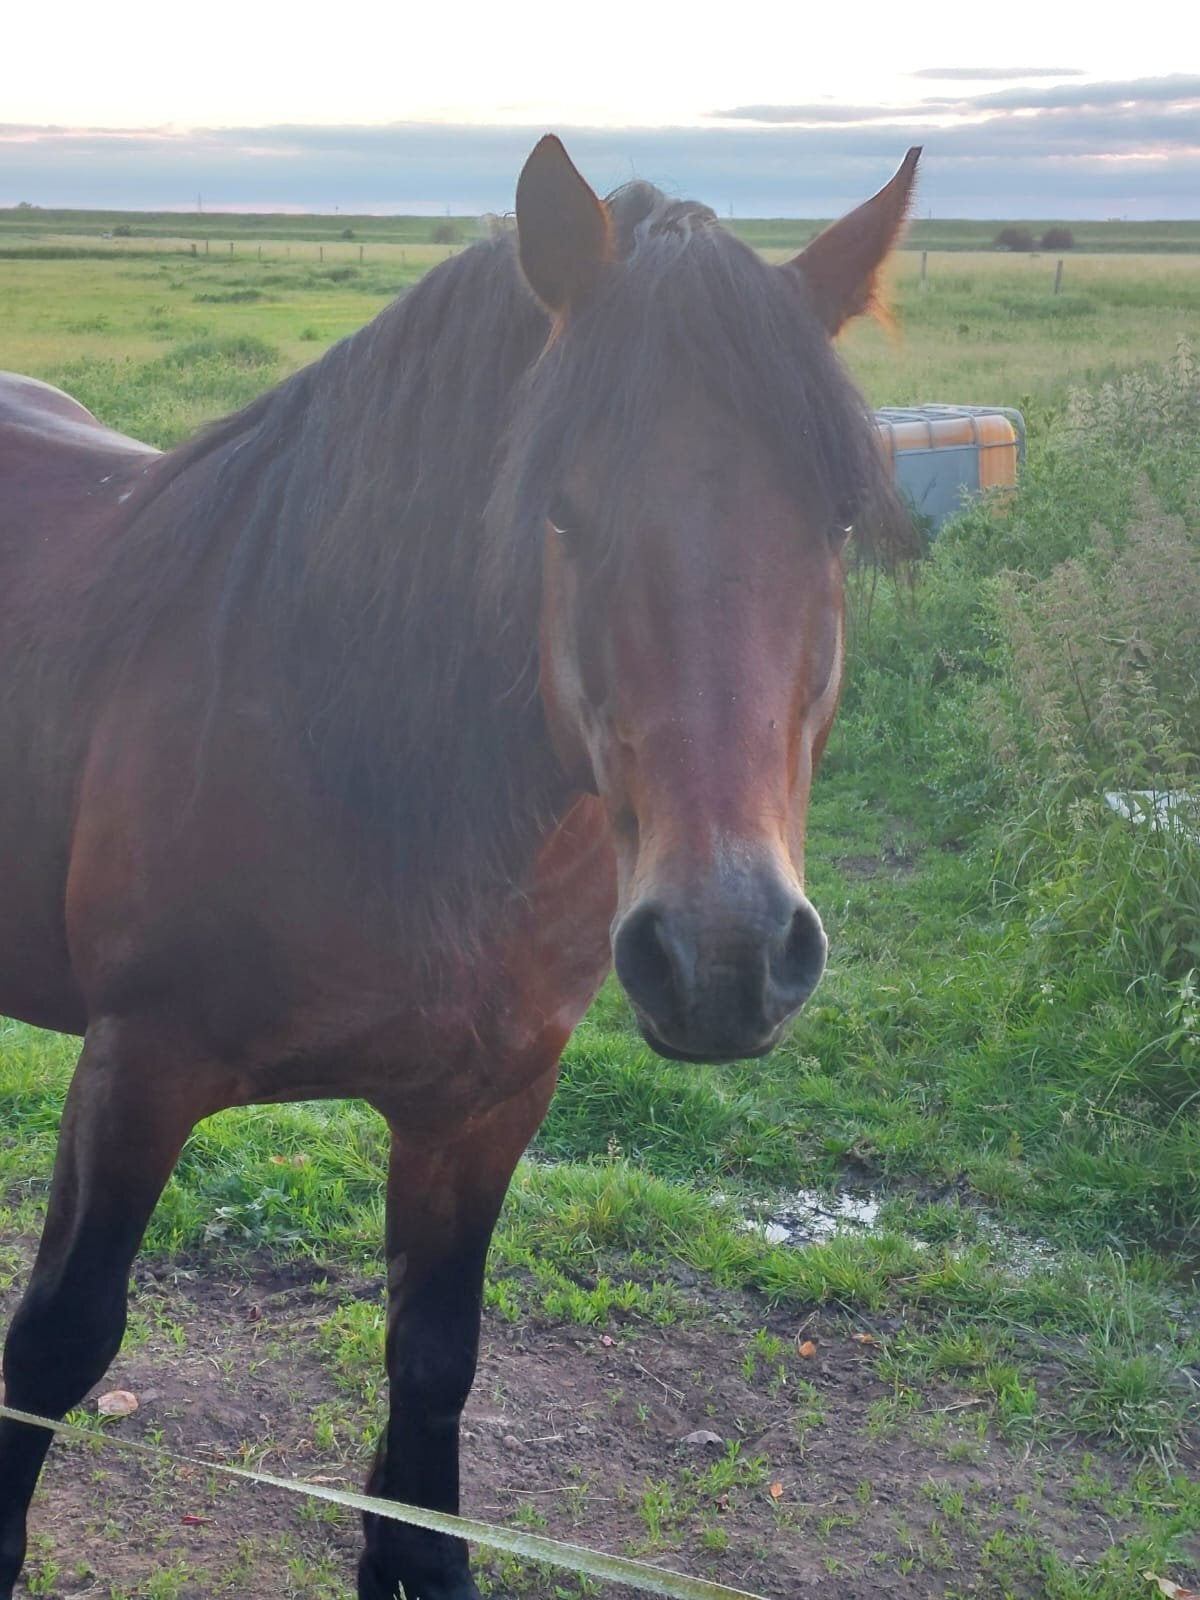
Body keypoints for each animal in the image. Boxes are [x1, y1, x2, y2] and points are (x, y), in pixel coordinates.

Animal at [0, 136, 920, 1599]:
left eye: (836, 518)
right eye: (561, 511)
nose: (724, 954)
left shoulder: (485, 1104)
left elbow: (434, 1368)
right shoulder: (135, 1069)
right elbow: (54, 1346)